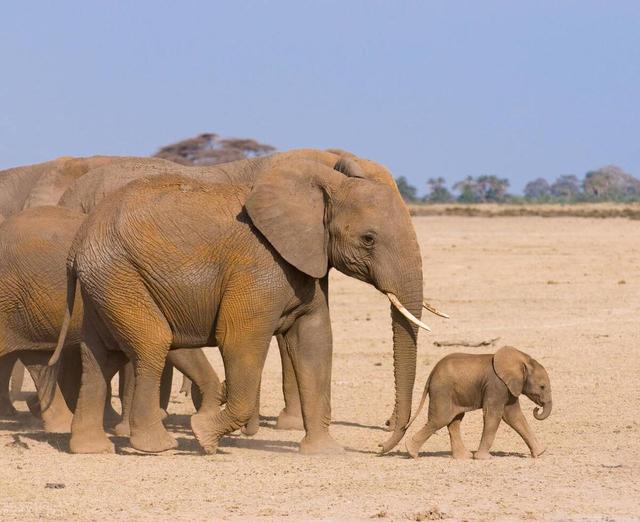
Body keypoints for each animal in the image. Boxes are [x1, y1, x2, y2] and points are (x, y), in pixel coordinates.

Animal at [53, 152, 430, 452]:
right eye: (368, 239)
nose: (382, 443)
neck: (327, 185)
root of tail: (77, 245)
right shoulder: (258, 265)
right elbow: (238, 339)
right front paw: (203, 436)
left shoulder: (306, 261)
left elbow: (315, 340)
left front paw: (325, 453)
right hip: (120, 274)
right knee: (151, 343)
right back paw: (157, 447)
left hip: (106, 281)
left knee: (99, 354)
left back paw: (92, 449)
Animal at [408, 346, 552, 460]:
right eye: (542, 387)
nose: (536, 409)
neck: (523, 359)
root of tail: (431, 374)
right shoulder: (496, 385)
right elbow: (493, 415)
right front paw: (484, 458)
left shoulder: (509, 387)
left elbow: (514, 416)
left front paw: (540, 452)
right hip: (442, 391)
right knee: (440, 420)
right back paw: (411, 453)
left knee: (454, 421)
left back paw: (464, 457)